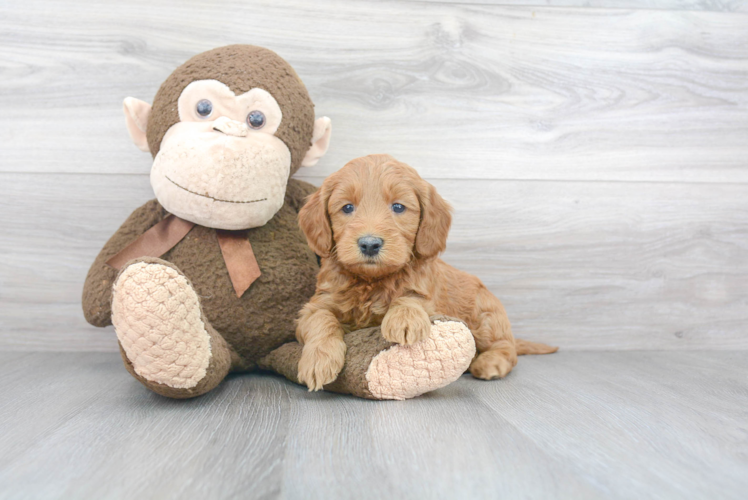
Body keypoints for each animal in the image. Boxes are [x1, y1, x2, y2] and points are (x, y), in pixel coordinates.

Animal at [292, 153, 556, 390]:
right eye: (347, 207)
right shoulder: (315, 305)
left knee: (507, 349)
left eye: (398, 207)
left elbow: (412, 298)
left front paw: (404, 319)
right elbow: (321, 320)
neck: (372, 282)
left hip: (485, 317)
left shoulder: (429, 297)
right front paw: (318, 361)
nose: (369, 244)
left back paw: (490, 363)